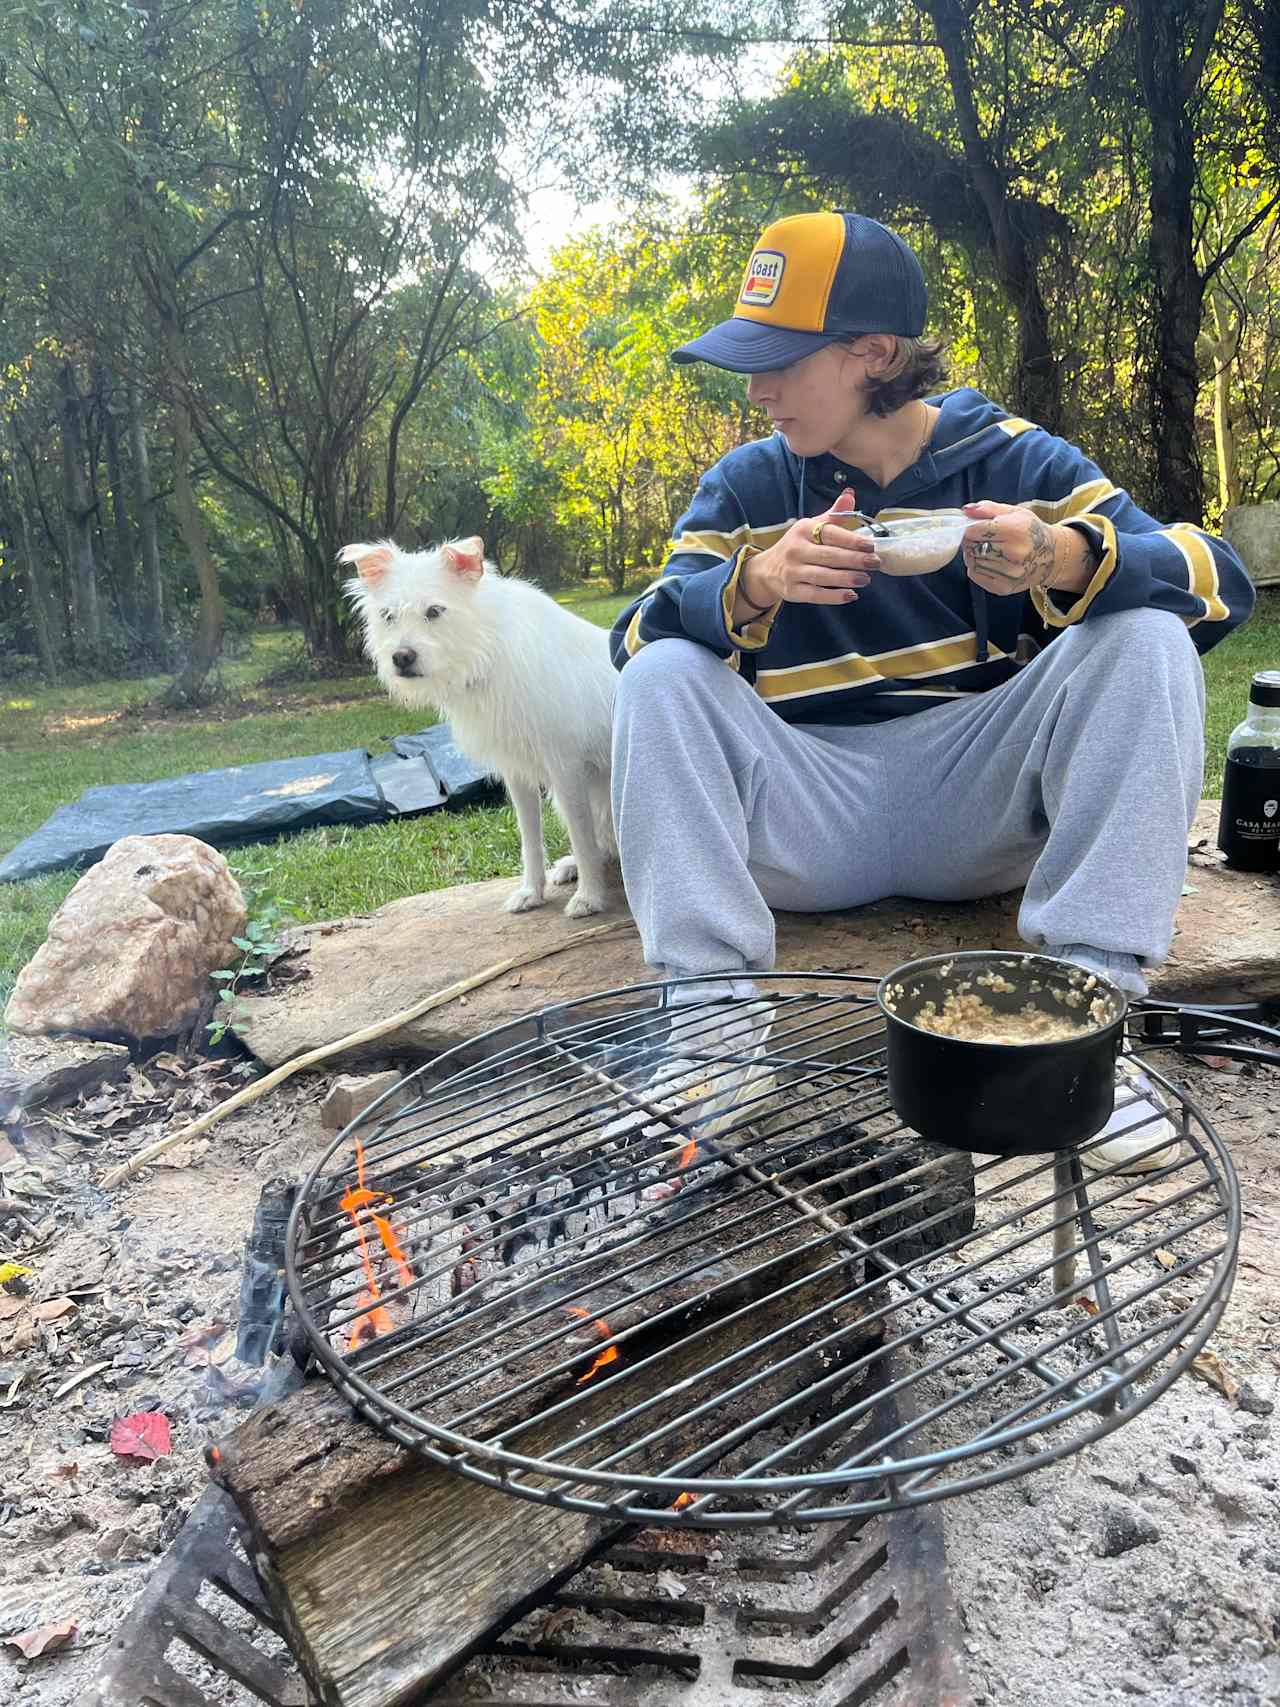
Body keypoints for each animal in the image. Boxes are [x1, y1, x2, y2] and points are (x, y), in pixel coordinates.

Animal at [341, 535, 621, 921]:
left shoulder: (566, 771)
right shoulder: (517, 772)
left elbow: (581, 837)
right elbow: (530, 838)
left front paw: (590, 897)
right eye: (388, 616)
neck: (488, 651)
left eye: (434, 612)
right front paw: (532, 892)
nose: (401, 657)